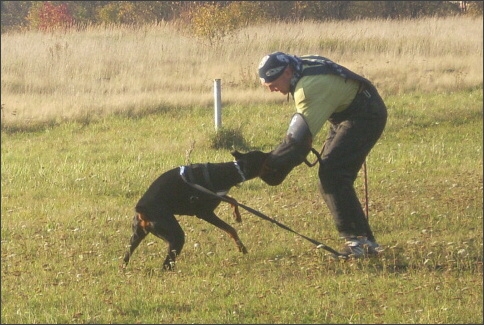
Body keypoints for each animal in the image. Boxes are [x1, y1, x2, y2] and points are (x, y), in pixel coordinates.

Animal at [123, 151, 270, 270]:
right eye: (263, 155)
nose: (273, 152)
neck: (223, 171)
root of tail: (142, 209)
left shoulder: (217, 196)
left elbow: (233, 200)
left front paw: (237, 216)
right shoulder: (205, 213)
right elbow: (230, 229)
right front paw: (242, 248)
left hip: (136, 236)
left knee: (126, 256)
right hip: (175, 236)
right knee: (166, 265)